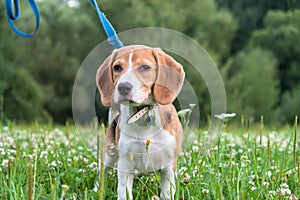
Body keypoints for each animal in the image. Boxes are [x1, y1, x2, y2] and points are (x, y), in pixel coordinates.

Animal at [96, 45, 185, 200]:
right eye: (117, 67)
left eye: (145, 67)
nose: (123, 87)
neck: (144, 113)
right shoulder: (125, 164)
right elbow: (124, 193)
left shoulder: (168, 166)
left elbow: (167, 193)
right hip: (108, 155)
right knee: (101, 173)